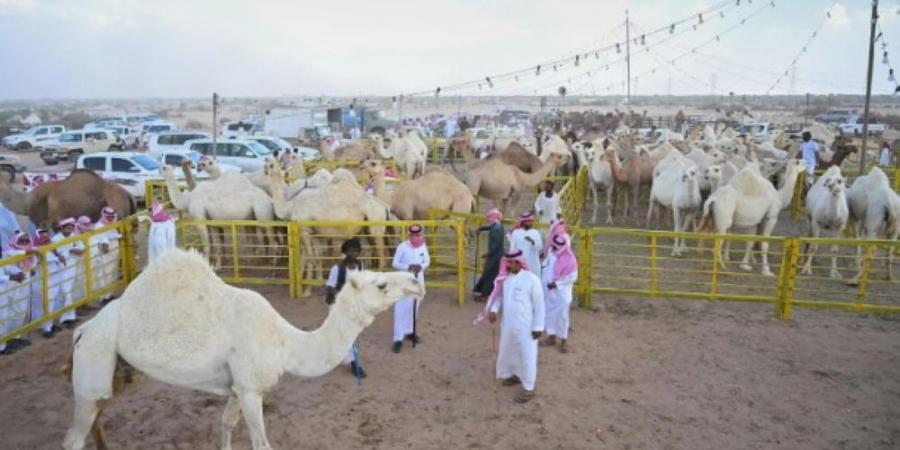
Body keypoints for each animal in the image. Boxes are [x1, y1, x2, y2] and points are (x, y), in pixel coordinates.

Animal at [63, 246, 422, 450]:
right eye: (382, 284)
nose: (416, 283)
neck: (284, 343)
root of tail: (83, 330)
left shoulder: (238, 387)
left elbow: (225, 424)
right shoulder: (251, 390)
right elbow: (261, 444)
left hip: (111, 370)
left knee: (97, 419)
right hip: (94, 357)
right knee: (74, 437)